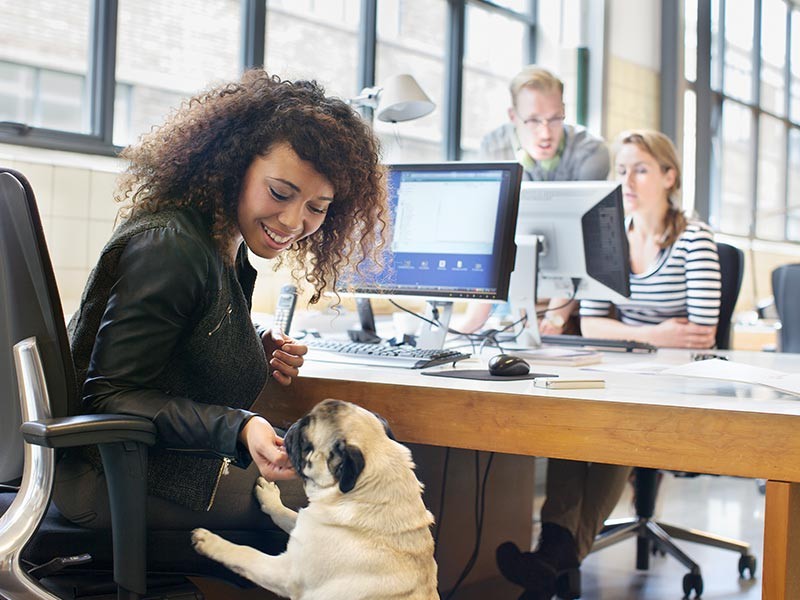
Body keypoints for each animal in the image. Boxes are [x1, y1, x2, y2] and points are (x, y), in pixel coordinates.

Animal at [195, 398, 444, 600]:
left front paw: (211, 542)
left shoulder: (285, 572)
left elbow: (246, 553)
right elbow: (286, 514)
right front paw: (270, 498)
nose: (294, 426)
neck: (364, 494)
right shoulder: (308, 526)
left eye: (306, 444)